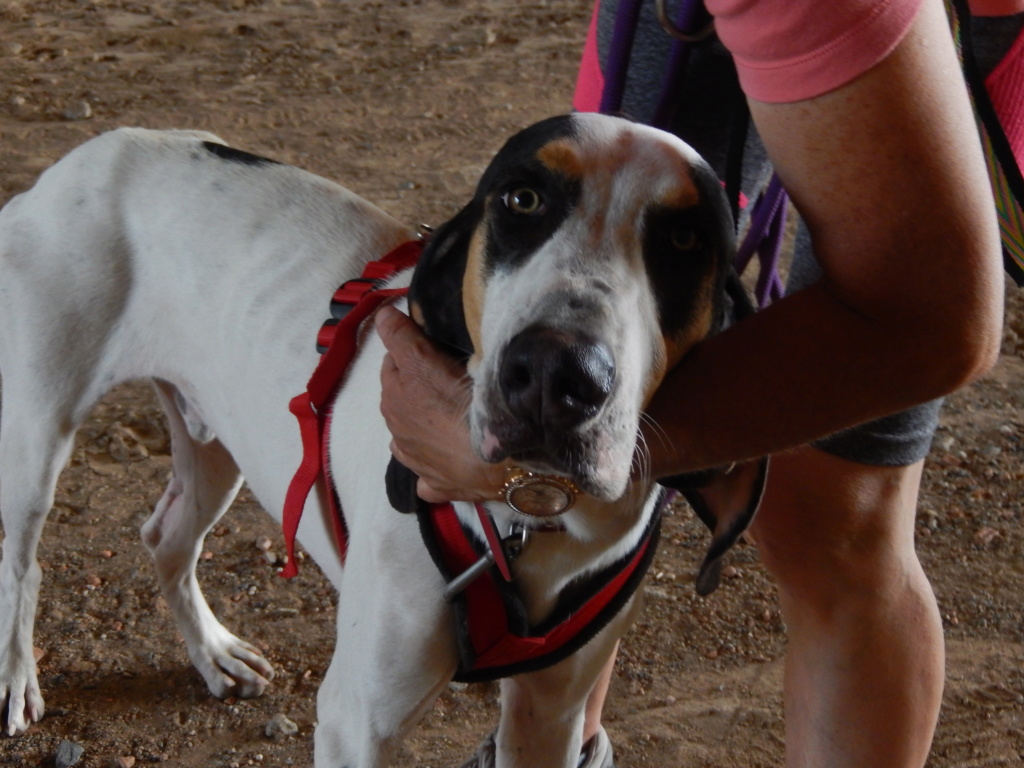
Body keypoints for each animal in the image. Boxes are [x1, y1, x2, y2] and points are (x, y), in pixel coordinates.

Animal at [0, 114, 761, 768]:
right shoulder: (356, 719)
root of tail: (77, 163)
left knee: (167, 539)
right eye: (521, 198)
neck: (529, 517)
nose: (556, 374)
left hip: (216, 440)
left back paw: (212, 652)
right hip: (35, 439)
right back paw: (16, 678)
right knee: (23, 564)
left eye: (685, 240)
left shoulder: (550, 713)